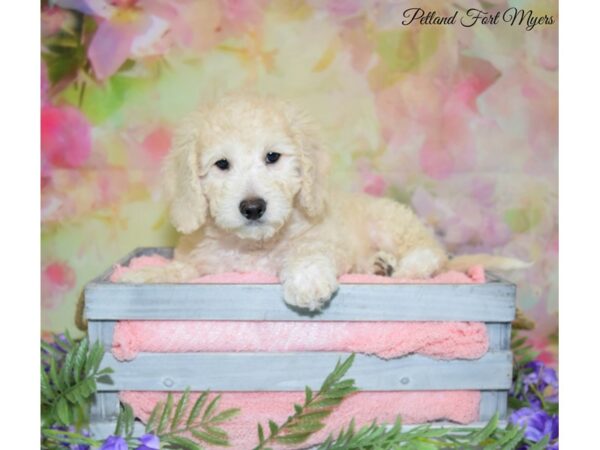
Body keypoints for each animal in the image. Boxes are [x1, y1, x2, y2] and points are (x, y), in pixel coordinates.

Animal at [123, 96, 524, 310]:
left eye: (272, 157)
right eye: (222, 164)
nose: (252, 207)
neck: (254, 248)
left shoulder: (322, 240)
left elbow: (309, 253)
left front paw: (307, 281)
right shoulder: (205, 266)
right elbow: (182, 271)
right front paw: (146, 274)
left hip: (393, 222)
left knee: (432, 254)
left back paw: (406, 269)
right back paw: (379, 265)